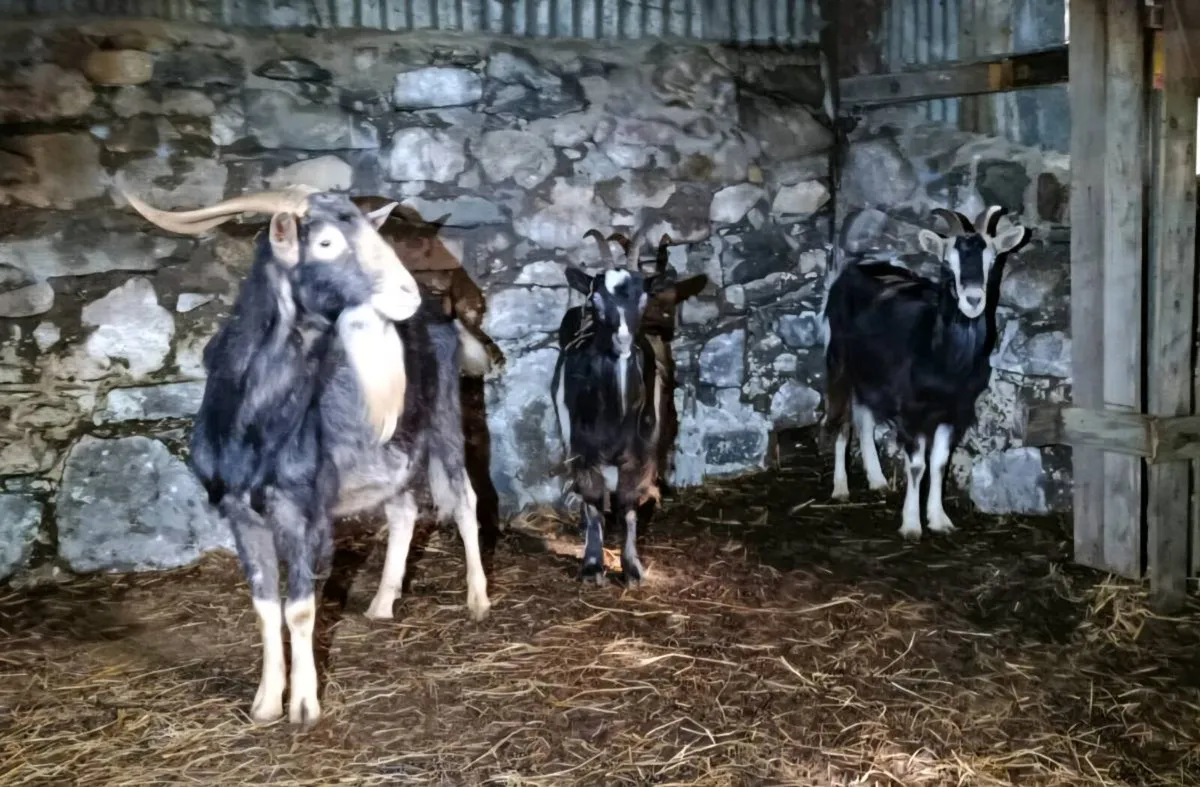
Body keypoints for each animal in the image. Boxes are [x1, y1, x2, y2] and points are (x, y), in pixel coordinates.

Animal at [120, 184, 492, 726]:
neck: (255, 427)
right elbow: (264, 605)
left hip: (444, 416)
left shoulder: (303, 509)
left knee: (465, 500)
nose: (406, 293)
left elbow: (299, 607)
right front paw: (265, 703)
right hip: (392, 451)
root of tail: (441, 319)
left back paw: (479, 600)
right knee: (403, 510)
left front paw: (303, 705)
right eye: (326, 243)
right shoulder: (239, 512)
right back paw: (382, 602)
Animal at [551, 229, 682, 586]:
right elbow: (593, 500)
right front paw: (593, 565)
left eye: (643, 297)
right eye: (596, 300)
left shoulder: (640, 453)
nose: (623, 341)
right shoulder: (581, 449)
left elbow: (628, 504)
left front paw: (632, 567)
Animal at [821, 205, 1028, 541]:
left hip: (870, 373)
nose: (973, 299)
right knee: (842, 420)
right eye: (946, 264)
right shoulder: (911, 411)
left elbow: (940, 463)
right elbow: (917, 465)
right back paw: (840, 488)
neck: (944, 361)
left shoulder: (954, 412)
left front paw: (939, 519)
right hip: (838, 362)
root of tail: (858, 268)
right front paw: (911, 525)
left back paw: (877, 479)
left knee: (864, 417)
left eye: (993, 260)